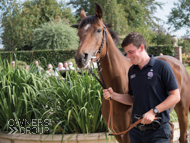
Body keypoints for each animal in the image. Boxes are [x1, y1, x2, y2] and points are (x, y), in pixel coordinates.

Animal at [74, 2, 190, 142]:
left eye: (98, 30)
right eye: (79, 33)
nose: (80, 58)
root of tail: (178, 63)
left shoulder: (128, 133)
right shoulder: (118, 132)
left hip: (182, 110)